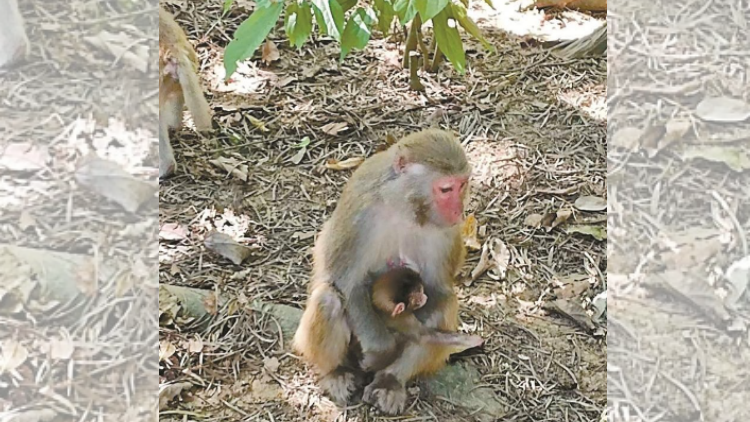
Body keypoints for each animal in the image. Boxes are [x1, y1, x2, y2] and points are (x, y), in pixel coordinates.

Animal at [296, 129, 472, 412]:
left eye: (462, 184)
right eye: (446, 189)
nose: (458, 210)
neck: (405, 207)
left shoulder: (446, 232)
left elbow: (437, 292)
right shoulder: (361, 212)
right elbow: (348, 283)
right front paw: (382, 351)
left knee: (443, 307)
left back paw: (389, 380)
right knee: (328, 298)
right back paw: (336, 371)